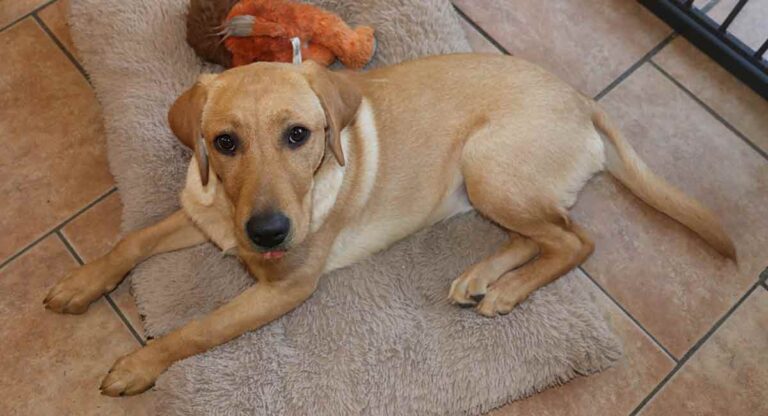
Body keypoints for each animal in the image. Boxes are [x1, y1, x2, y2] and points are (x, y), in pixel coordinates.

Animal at [42, 53, 732, 394]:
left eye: (300, 135)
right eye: (224, 142)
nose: (269, 234)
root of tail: (584, 101)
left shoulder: (285, 287)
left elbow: (197, 329)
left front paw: (141, 364)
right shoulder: (202, 214)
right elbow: (130, 241)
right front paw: (81, 283)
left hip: (489, 164)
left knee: (577, 239)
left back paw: (505, 290)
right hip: (491, 187)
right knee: (541, 235)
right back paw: (482, 276)